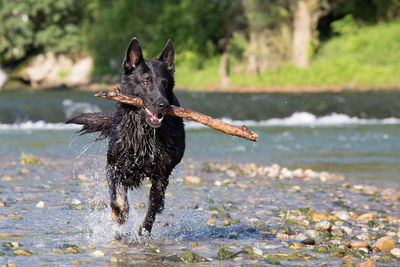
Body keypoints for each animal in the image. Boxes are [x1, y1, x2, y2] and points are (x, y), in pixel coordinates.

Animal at [67, 38, 186, 237]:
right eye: (145, 82)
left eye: (165, 84)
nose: (163, 105)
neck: (143, 132)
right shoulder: (113, 166)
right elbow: (117, 197)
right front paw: (120, 214)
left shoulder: (161, 176)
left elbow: (151, 209)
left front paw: (143, 232)